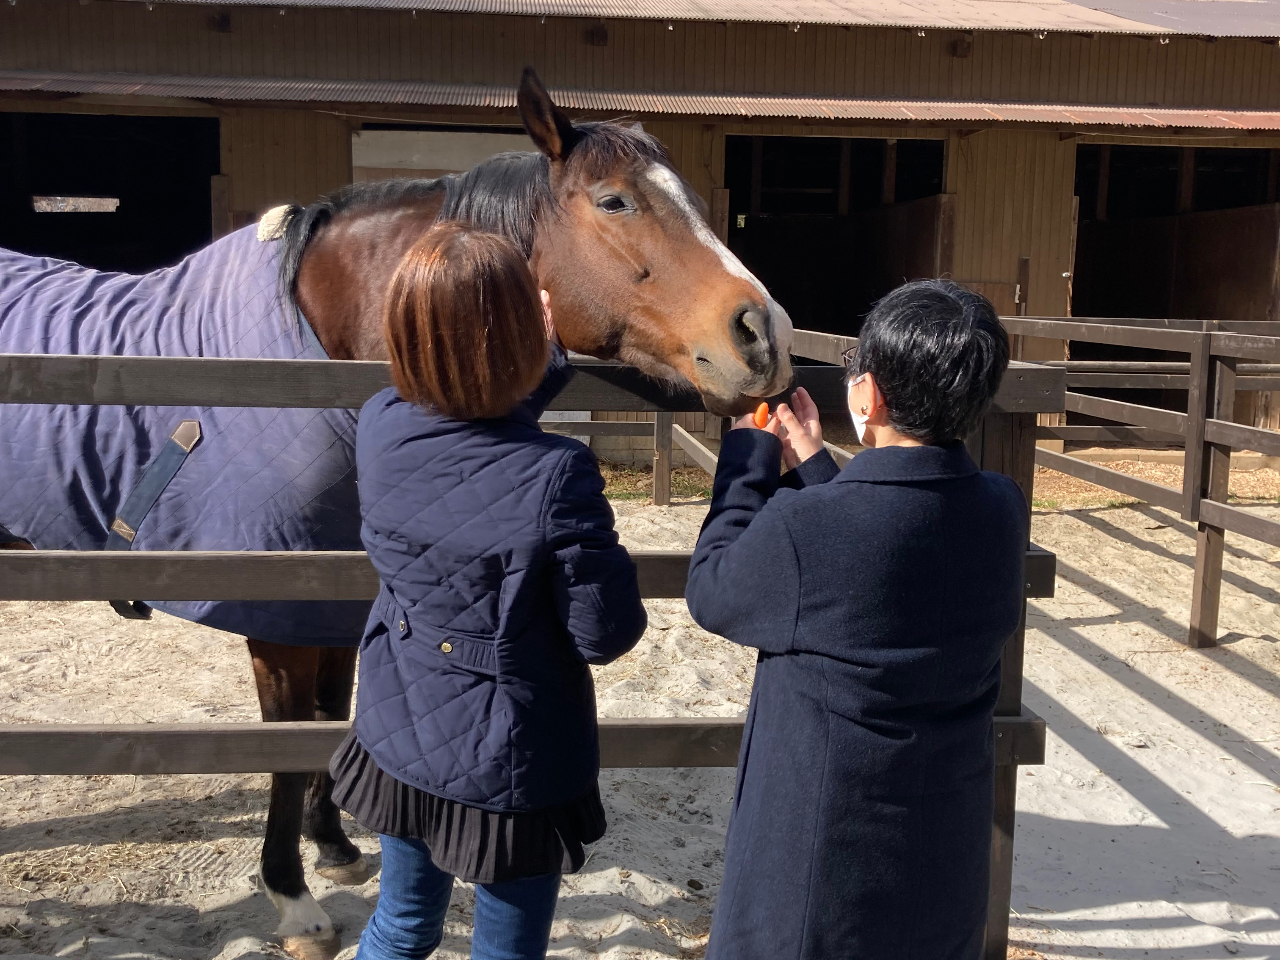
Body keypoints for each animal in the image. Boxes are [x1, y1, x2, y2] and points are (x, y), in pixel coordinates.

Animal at [0, 68, 793, 956]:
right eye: (615, 201)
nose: (764, 334)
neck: (309, 352)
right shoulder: (273, 609)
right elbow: (286, 743)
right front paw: (293, 899)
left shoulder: (337, 593)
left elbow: (335, 712)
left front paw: (335, 845)